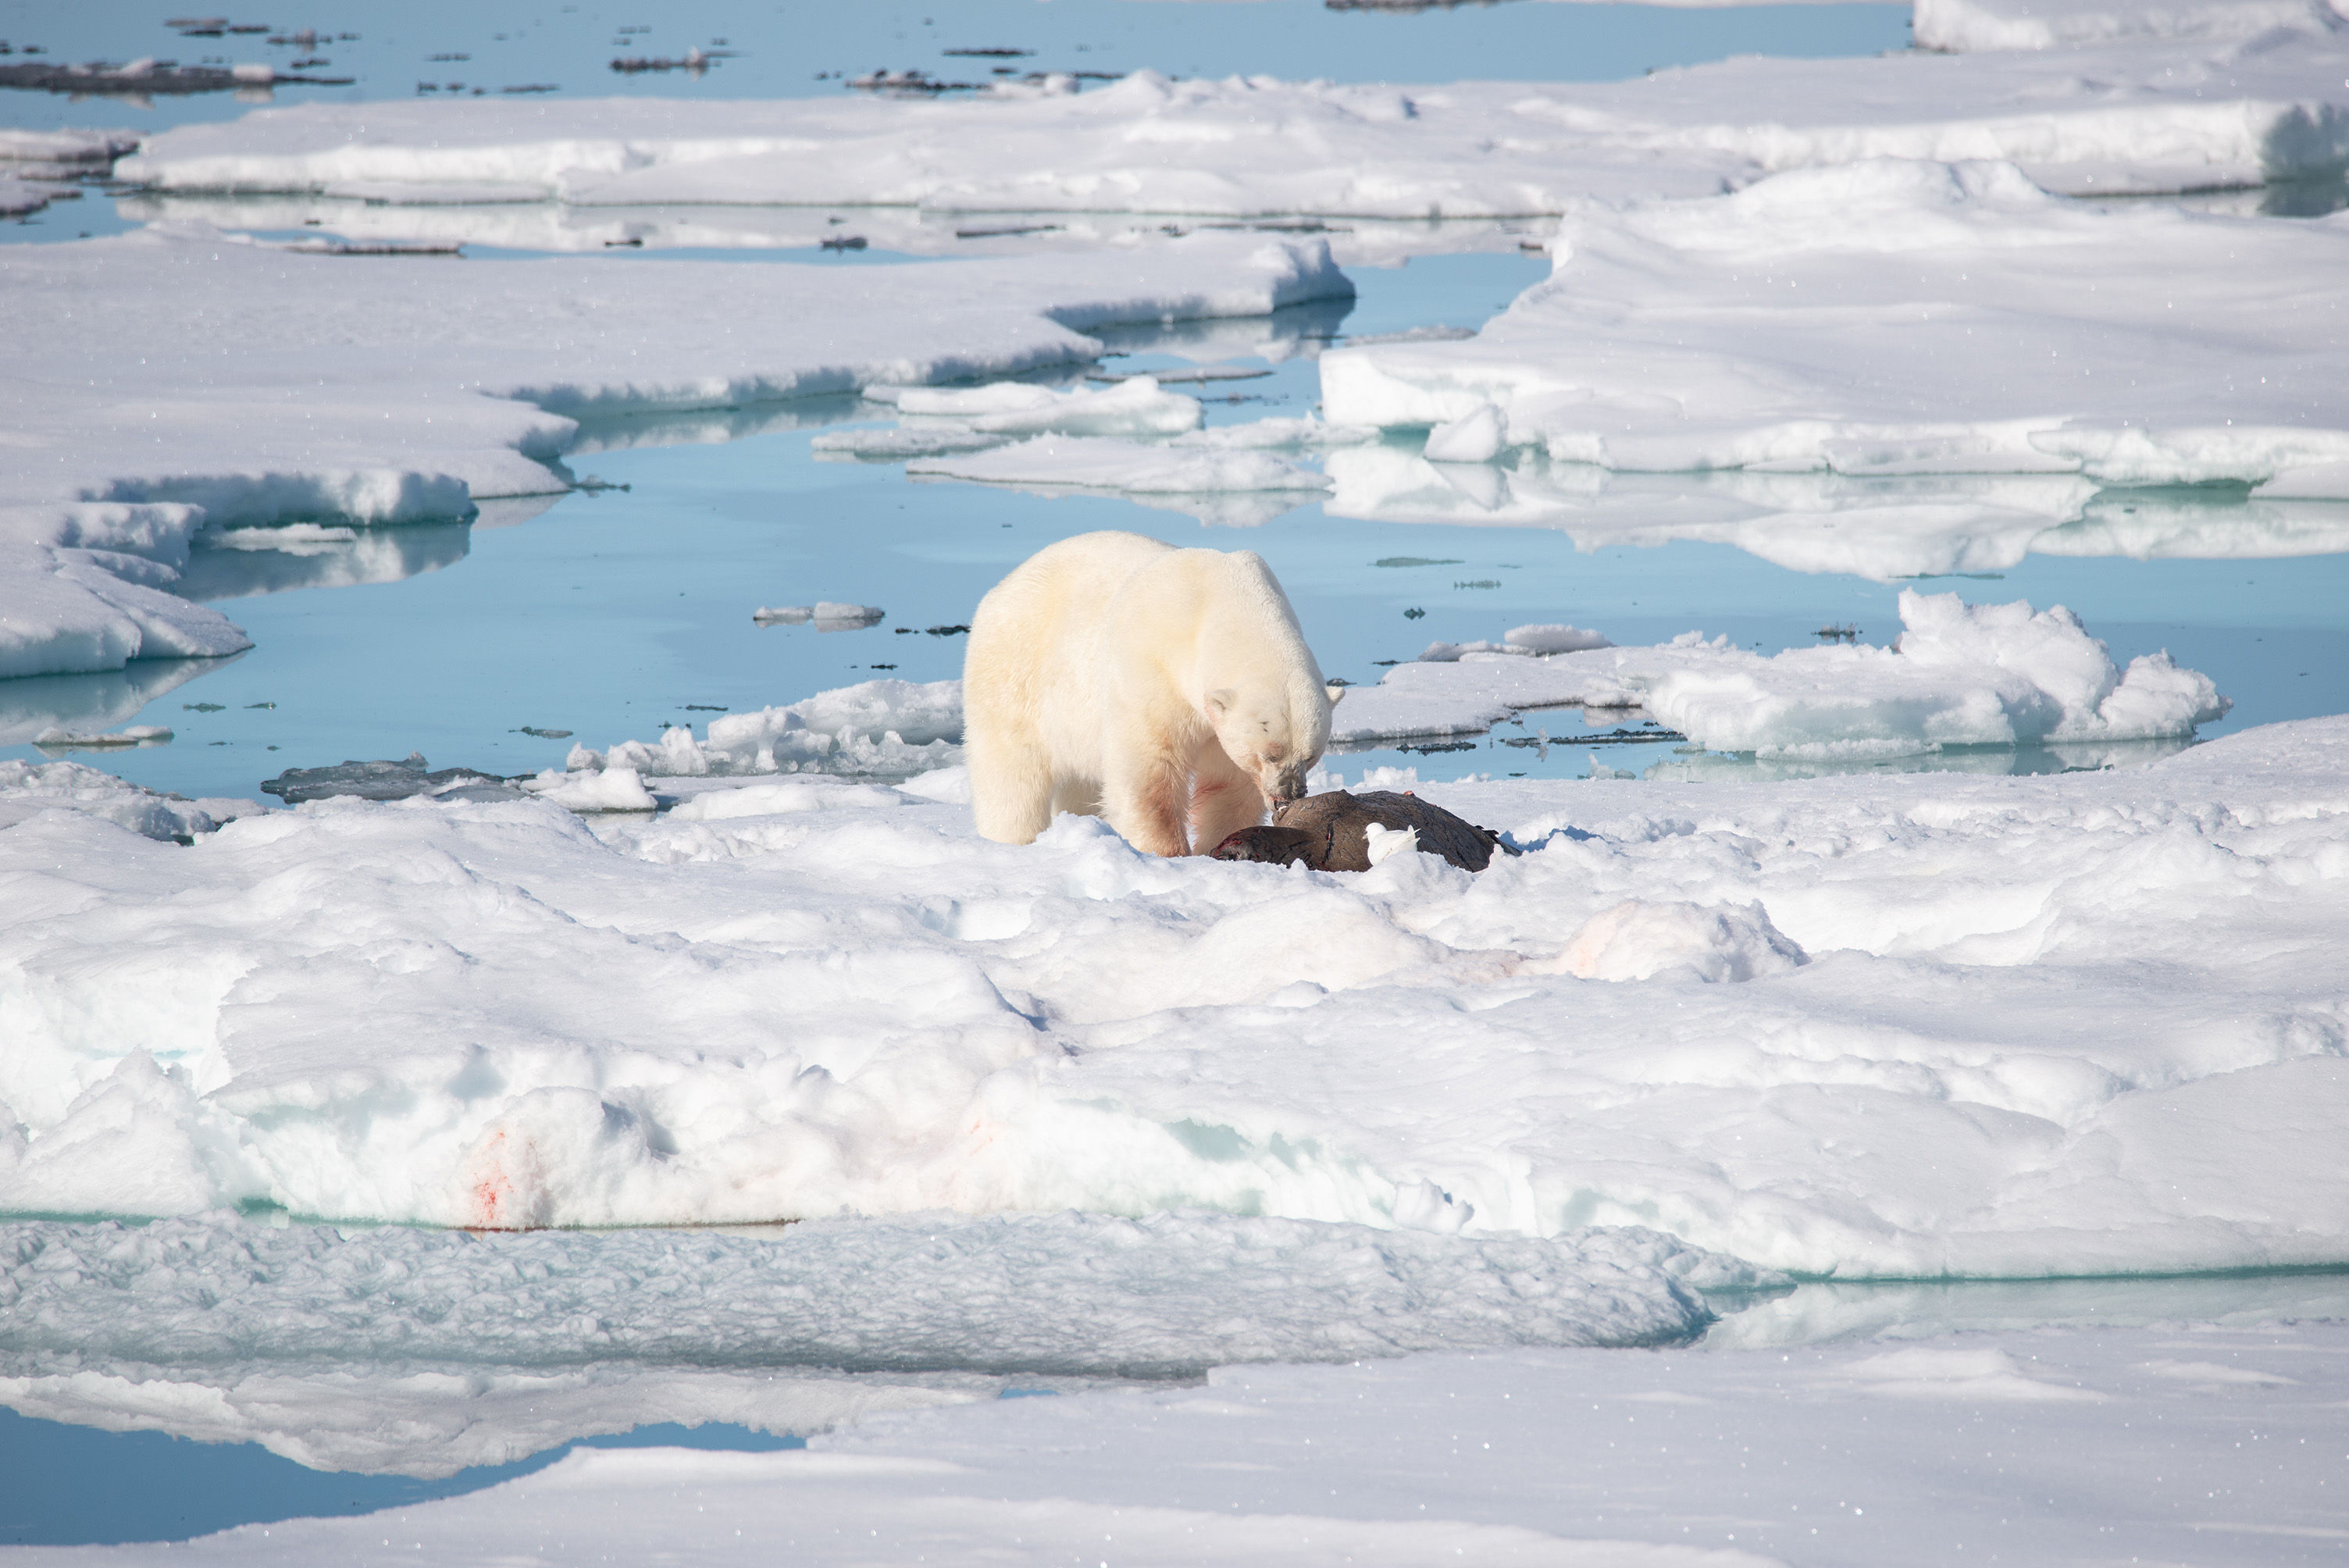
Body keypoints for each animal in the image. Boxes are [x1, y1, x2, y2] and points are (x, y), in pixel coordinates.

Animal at [964, 530, 1339, 857]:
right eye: (1270, 755)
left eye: (1311, 755)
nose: (1289, 795)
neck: (1220, 601)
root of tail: (1003, 586)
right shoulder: (1152, 667)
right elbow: (1150, 769)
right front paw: (1168, 852)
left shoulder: (1215, 721)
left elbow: (1229, 782)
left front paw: (1219, 844)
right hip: (1014, 671)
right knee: (1012, 775)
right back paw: (1014, 838)